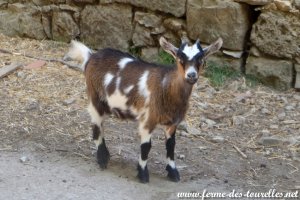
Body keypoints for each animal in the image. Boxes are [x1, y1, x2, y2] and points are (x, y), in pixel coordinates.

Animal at [63, 36, 223, 183]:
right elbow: (146, 146)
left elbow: (171, 146)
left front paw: (173, 172)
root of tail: (91, 56)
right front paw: (143, 174)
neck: (165, 86)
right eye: (180, 57)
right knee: (96, 128)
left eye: (201, 58)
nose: (191, 75)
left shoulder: (172, 123)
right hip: (95, 98)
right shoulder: (148, 119)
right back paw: (102, 159)